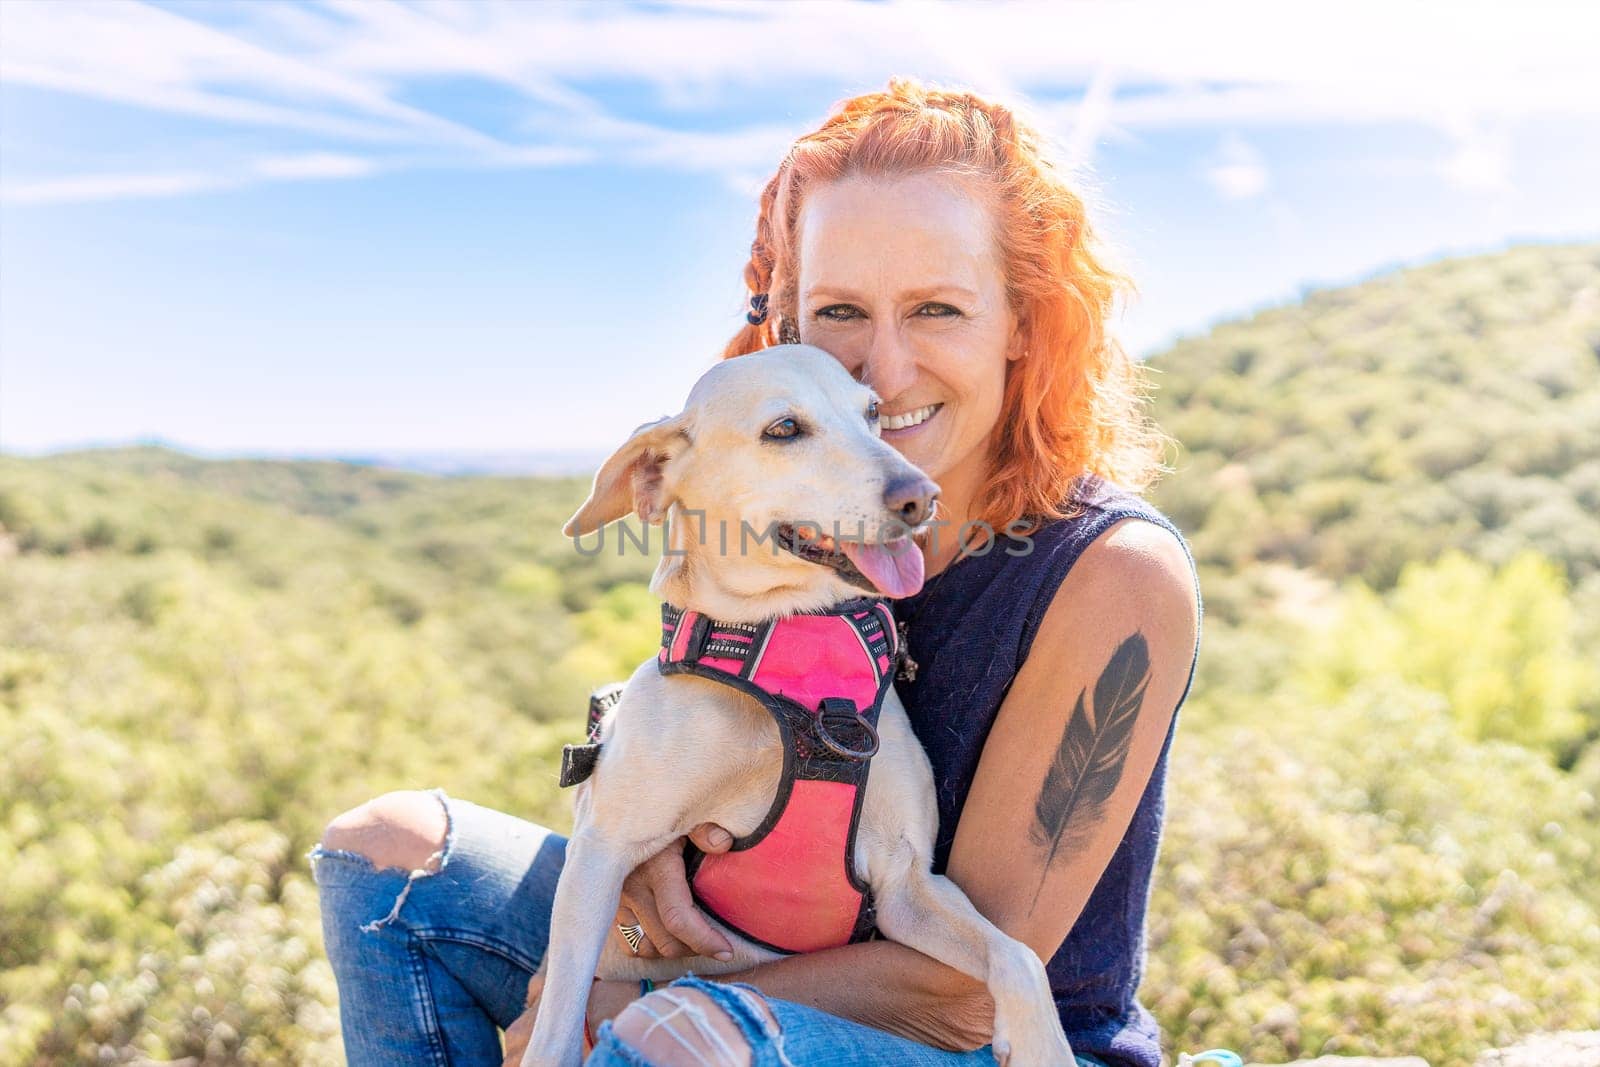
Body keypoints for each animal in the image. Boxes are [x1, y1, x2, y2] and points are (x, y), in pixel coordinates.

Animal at [524, 347, 1075, 1062]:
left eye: (873, 412)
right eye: (784, 430)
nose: (921, 495)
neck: (789, 652)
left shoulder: (907, 885)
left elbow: (1019, 957)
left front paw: (1042, 1044)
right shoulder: (600, 851)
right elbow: (556, 1028)